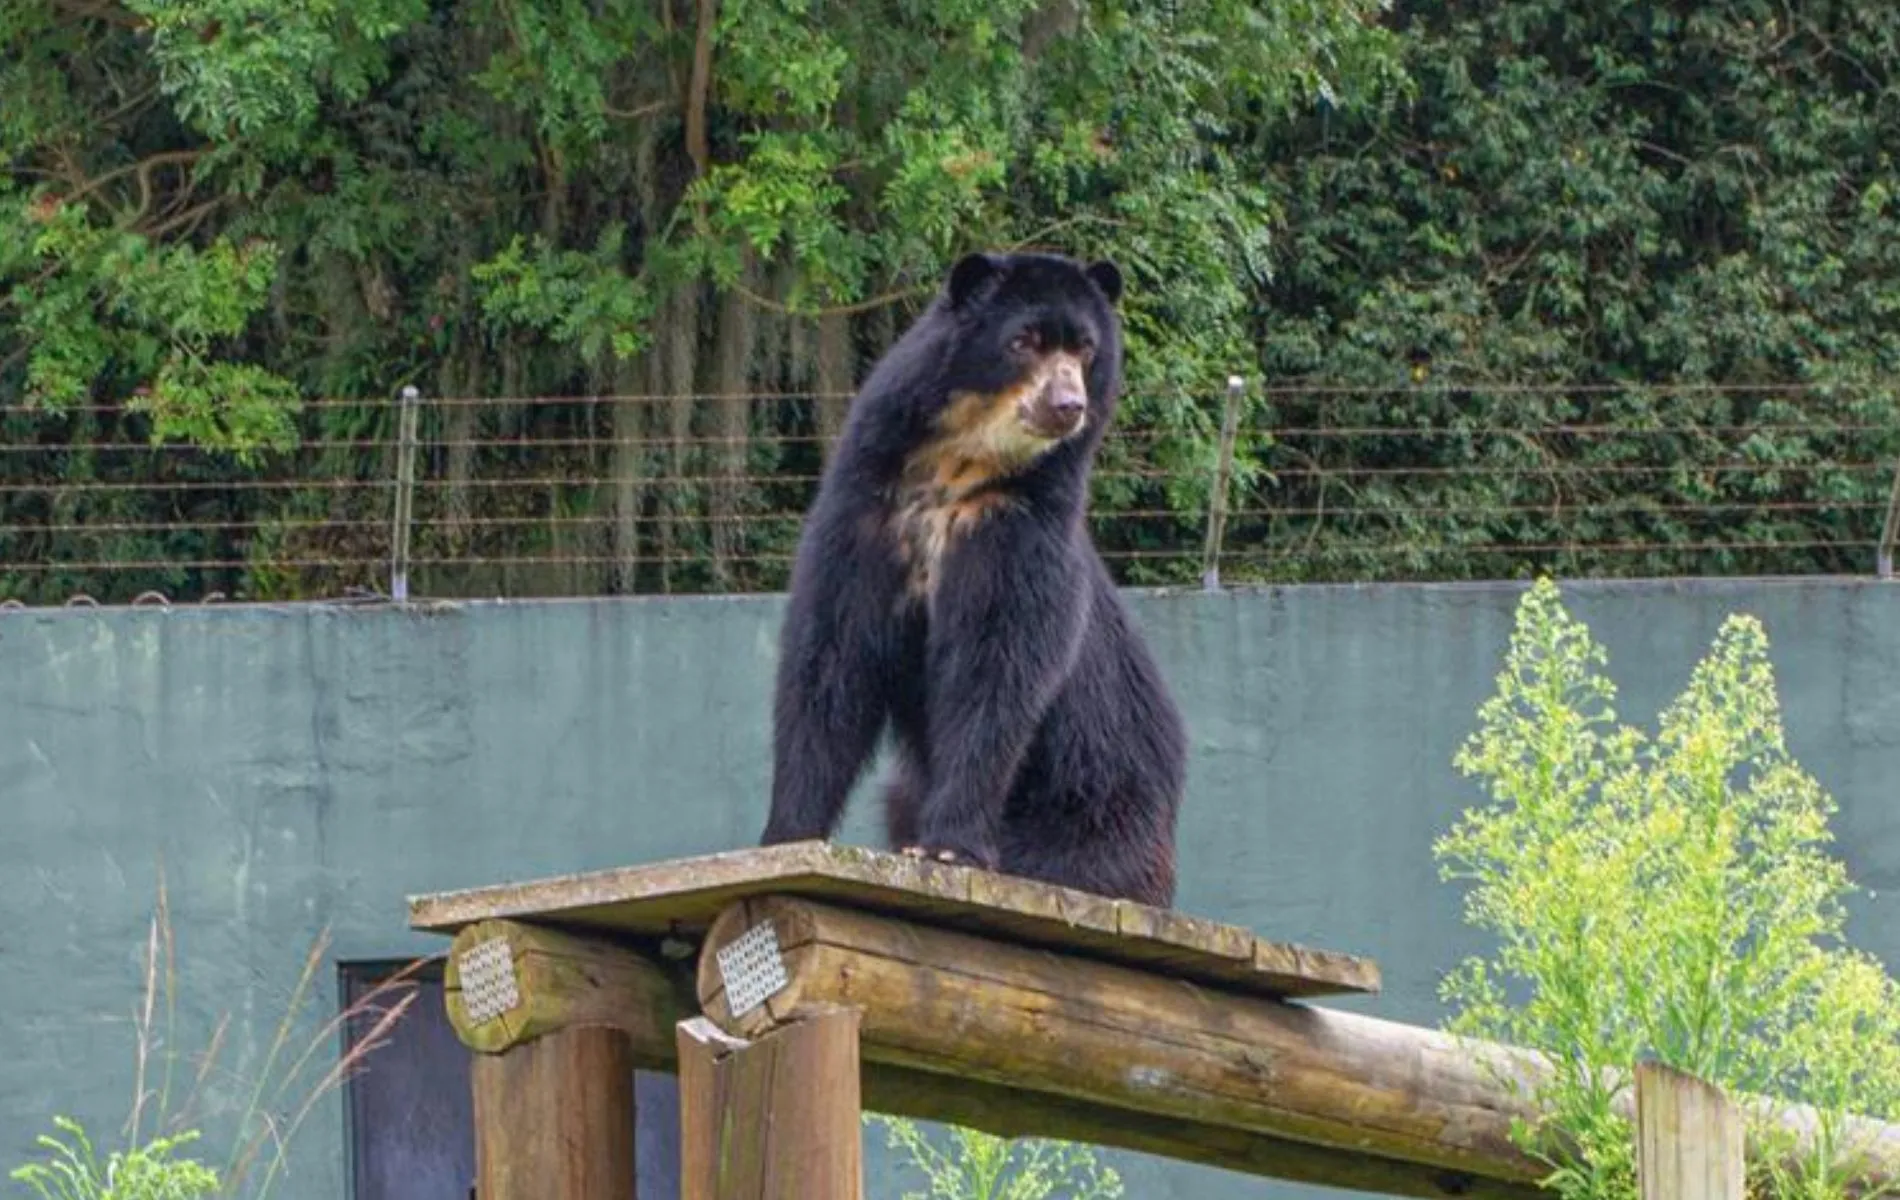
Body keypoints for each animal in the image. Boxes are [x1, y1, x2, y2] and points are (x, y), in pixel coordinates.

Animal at [757, 249, 1189, 909]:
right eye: (1025, 340)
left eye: (1085, 349)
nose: (1068, 406)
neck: (960, 466)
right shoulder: (864, 518)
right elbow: (829, 661)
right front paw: (786, 837)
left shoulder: (1018, 526)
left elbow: (997, 664)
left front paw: (949, 848)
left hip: (1096, 812)